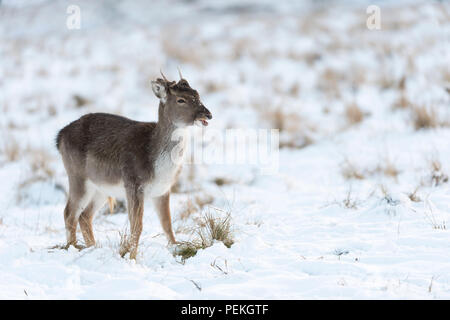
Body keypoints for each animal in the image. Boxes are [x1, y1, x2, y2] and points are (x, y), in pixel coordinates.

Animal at [55, 71, 213, 258]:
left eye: (197, 94)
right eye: (181, 99)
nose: (208, 114)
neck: (157, 165)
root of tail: (60, 136)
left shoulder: (163, 190)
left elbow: (167, 224)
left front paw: (176, 248)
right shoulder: (133, 183)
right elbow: (137, 226)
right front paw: (132, 257)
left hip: (101, 187)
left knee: (85, 216)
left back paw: (93, 248)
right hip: (77, 175)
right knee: (69, 213)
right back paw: (73, 247)